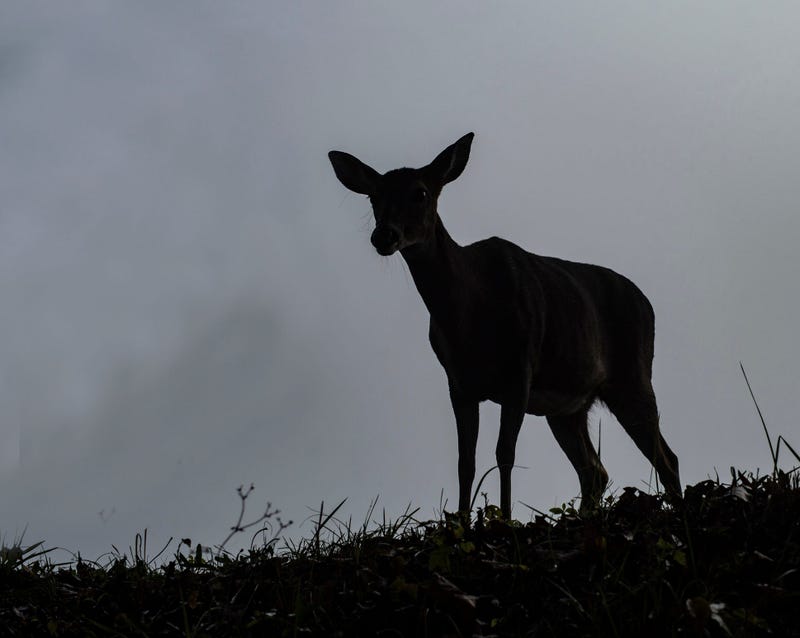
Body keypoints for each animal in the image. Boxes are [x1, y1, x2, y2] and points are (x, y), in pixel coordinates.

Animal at [328, 132, 681, 518]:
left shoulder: (519, 370)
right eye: (374, 197)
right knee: (594, 471)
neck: (470, 316)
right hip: (569, 407)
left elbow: (504, 455)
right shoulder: (459, 383)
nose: (384, 236)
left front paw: (506, 518)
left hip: (633, 375)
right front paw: (462, 522)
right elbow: (465, 461)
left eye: (420, 193)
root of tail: (648, 304)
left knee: (667, 458)